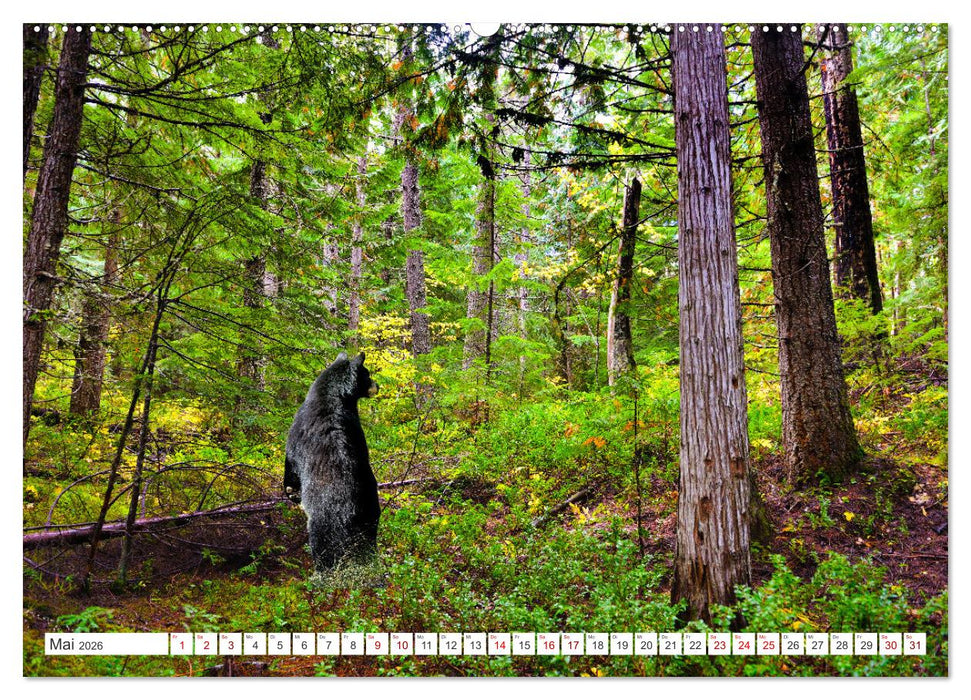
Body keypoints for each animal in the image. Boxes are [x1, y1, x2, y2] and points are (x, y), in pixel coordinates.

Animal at [284, 351, 380, 574]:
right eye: (367, 373)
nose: (377, 385)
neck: (333, 395)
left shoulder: (296, 432)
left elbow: (291, 464)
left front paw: (290, 491)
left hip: (323, 523)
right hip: (371, 515)